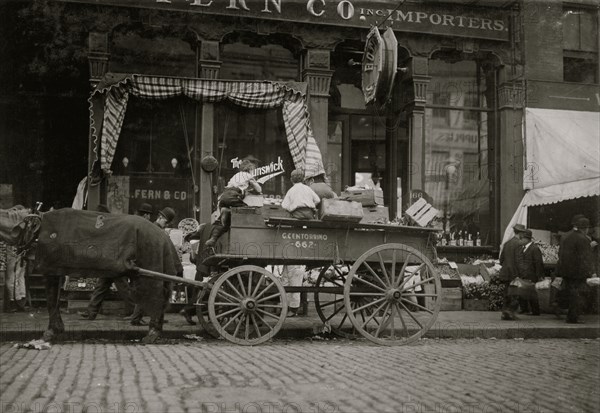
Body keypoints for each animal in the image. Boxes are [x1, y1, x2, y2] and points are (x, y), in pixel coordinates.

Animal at [1, 204, 182, 342]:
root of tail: (164, 236)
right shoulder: (56, 269)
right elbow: (55, 298)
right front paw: (57, 329)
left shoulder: (49, 266)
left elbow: (51, 300)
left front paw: (50, 332)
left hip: (150, 267)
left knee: (156, 295)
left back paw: (152, 332)